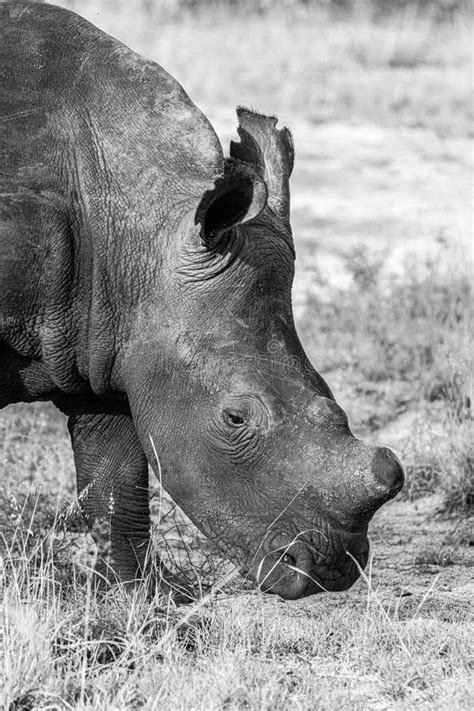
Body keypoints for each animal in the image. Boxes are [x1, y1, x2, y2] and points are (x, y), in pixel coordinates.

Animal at [0, 1, 404, 600]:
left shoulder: (106, 342)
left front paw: (138, 596)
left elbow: (117, 480)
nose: (331, 571)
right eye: (234, 418)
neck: (138, 231)